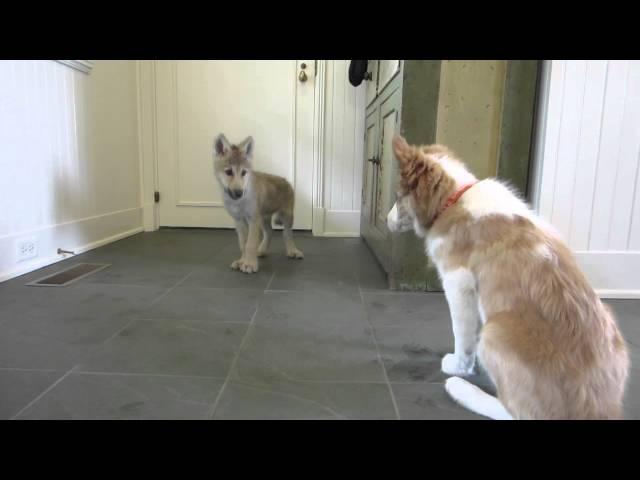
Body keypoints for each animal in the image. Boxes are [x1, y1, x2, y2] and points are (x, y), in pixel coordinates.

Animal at [384, 136, 632, 420]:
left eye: (398, 197)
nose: (386, 220)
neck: (455, 199)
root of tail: (597, 409)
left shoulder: (458, 282)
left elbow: (462, 333)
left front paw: (458, 367)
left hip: (493, 333)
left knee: (517, 413)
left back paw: (461, 389)